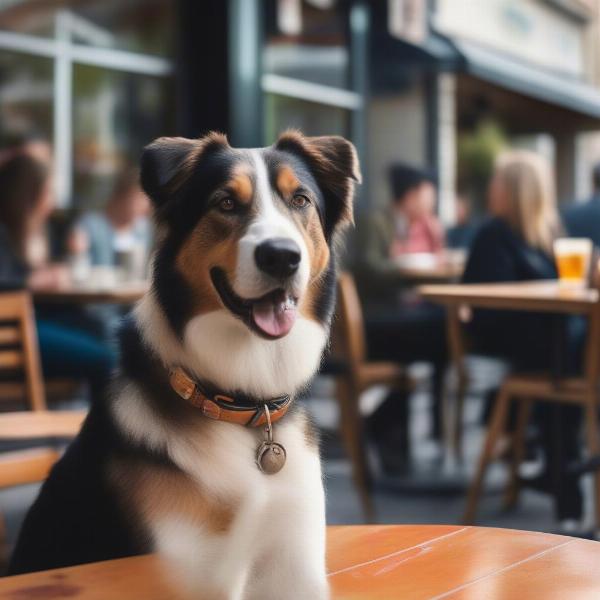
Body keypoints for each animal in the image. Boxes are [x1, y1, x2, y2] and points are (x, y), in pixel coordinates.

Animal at [8, 129, 360, 596]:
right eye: (225, 202)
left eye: (300, 199)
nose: (282, 256)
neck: (243, 405)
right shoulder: (187, 567)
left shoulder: (295, 565)